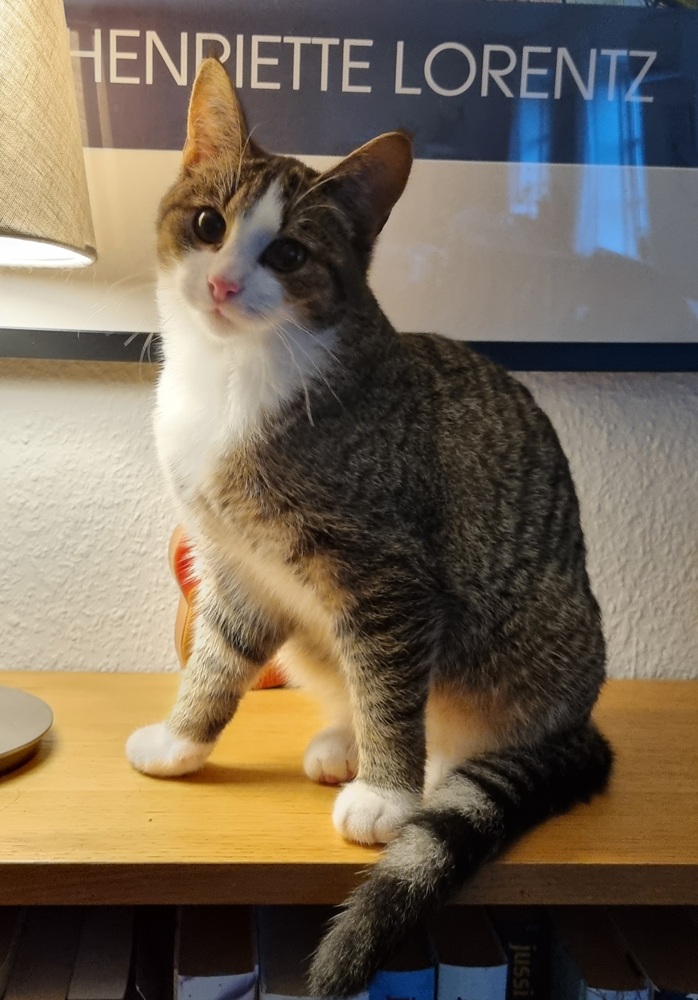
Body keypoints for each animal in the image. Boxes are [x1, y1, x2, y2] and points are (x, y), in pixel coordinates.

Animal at [126, 57, 612, 997]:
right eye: (208, 225)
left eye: (288, 253)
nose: (222, 283)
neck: (235, 377)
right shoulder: (237, 566)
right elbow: (219, 657)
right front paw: (182, 737)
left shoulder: (388, 571)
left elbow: (391, 682)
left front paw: (391, 795)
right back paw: (342, 741)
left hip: (535, 645)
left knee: (445, 710)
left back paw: (432, 770)